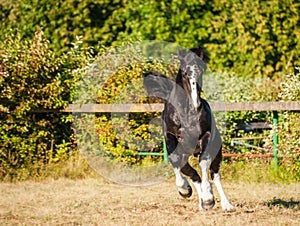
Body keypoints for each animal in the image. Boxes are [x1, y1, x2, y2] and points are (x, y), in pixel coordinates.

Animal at [143, 46, 234, 211]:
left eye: (202, 71)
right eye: (185, 73)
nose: (196, 103)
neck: (185, 114)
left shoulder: (206, 136)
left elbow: (204, 162)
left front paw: (208, 198)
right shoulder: (171, 139)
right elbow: (180, 165)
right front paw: (186, 190)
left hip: (217, 149)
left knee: (215, 174)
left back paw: (226, 204)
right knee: (192, 173)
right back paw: (201, 201)